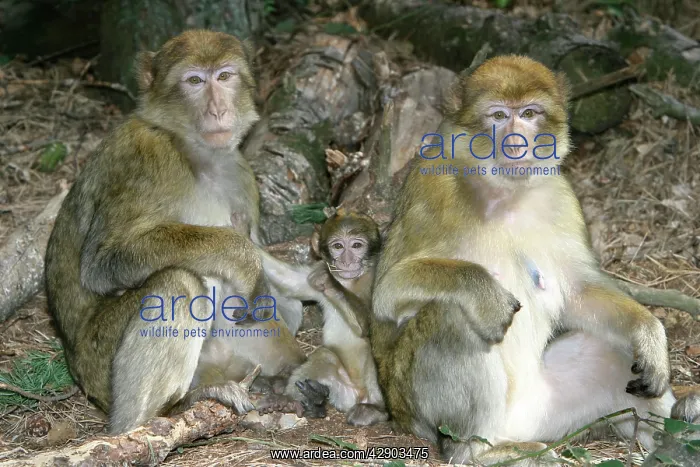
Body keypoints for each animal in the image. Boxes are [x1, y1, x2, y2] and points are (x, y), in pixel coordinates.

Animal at [44, 30, 327, 434]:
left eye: (224, 76)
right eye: (194, 81)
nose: (218, 110)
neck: (195, 153)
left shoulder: (242, 176)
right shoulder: (146, 157)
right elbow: (103, 263)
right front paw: (242, 258)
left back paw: (278, 386)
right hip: (100, 366)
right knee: (178, 281)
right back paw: (167, 411)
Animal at [280, 210, 388, 426]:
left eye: (357, 246)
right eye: (338, 246)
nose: (347, 261)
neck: (350, 282)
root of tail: (360, 395)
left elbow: (372, 326)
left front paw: (330, 281)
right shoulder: (312, 276)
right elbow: (284, 279)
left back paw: (376, 410)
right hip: (344, 394)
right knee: (325, 355)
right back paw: (312, 401)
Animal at [369, 55, 700, 465]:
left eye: (528, 113)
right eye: (498, 115)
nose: (516, 139)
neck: (503, 191)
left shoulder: (561, 196)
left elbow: (577, 292)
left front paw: (649, 332)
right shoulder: (433, 184)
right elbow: (386, 294)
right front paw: (483, 292)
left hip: (546, 409)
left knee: (607, 349)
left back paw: (676, 430)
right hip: (420, 411)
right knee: (451, 315)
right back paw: (478, 451)